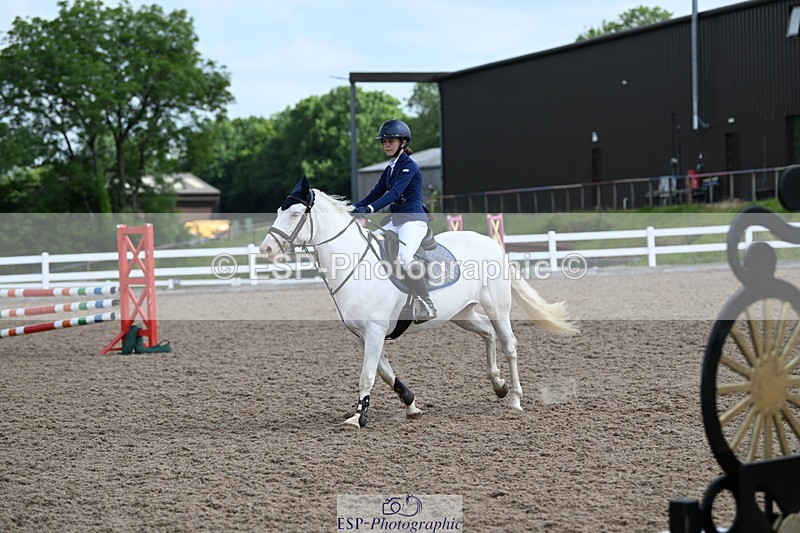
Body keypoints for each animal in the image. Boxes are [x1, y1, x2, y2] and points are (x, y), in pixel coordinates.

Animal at [259, 177, 578, 428]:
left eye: (295, 213)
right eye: (279, 211)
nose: (266, 248)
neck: (356, 265)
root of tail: (492, 244)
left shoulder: (375, 331)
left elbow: (367, 375)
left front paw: (357, 418)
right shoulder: (364, 335)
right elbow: (385, 373)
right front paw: (411, 404)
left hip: (497, 308)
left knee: (509, 344)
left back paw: (514, 400)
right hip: (461, 314)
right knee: (488, 334)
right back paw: (498, 385)